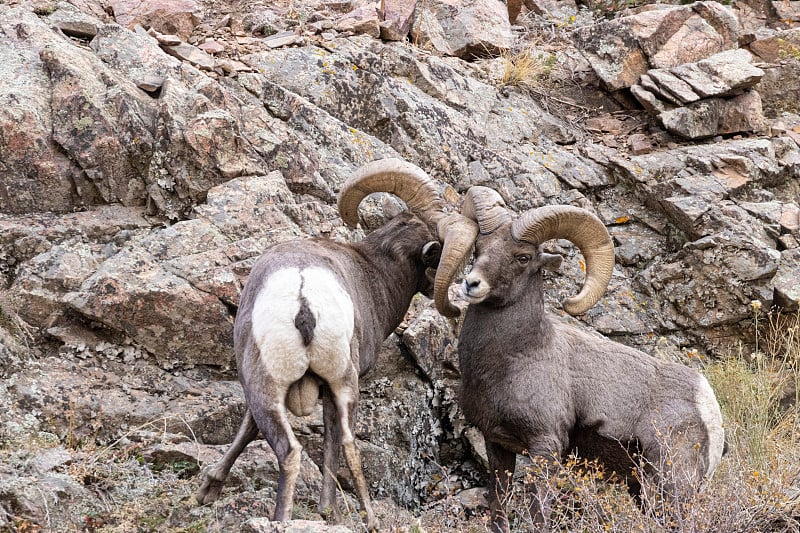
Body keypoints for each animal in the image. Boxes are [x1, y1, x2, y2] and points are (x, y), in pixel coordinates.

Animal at [196, 157, 478, 528]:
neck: (371, 271)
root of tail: (303, 295)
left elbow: (248, 428)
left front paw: (208, 490)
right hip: (340, 383)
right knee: (348, 444)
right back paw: (363, 518)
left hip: (280, 385)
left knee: (297, 450)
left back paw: (291, 518)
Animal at [446, 185, 728, 528]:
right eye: (478, 249)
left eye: (522, 257)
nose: (471, 284)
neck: (510, 361)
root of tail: (707, 403)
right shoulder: (497, 444)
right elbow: (499, 507)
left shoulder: (545, 446)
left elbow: (538, 514)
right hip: (643, 488)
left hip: (673, 484)